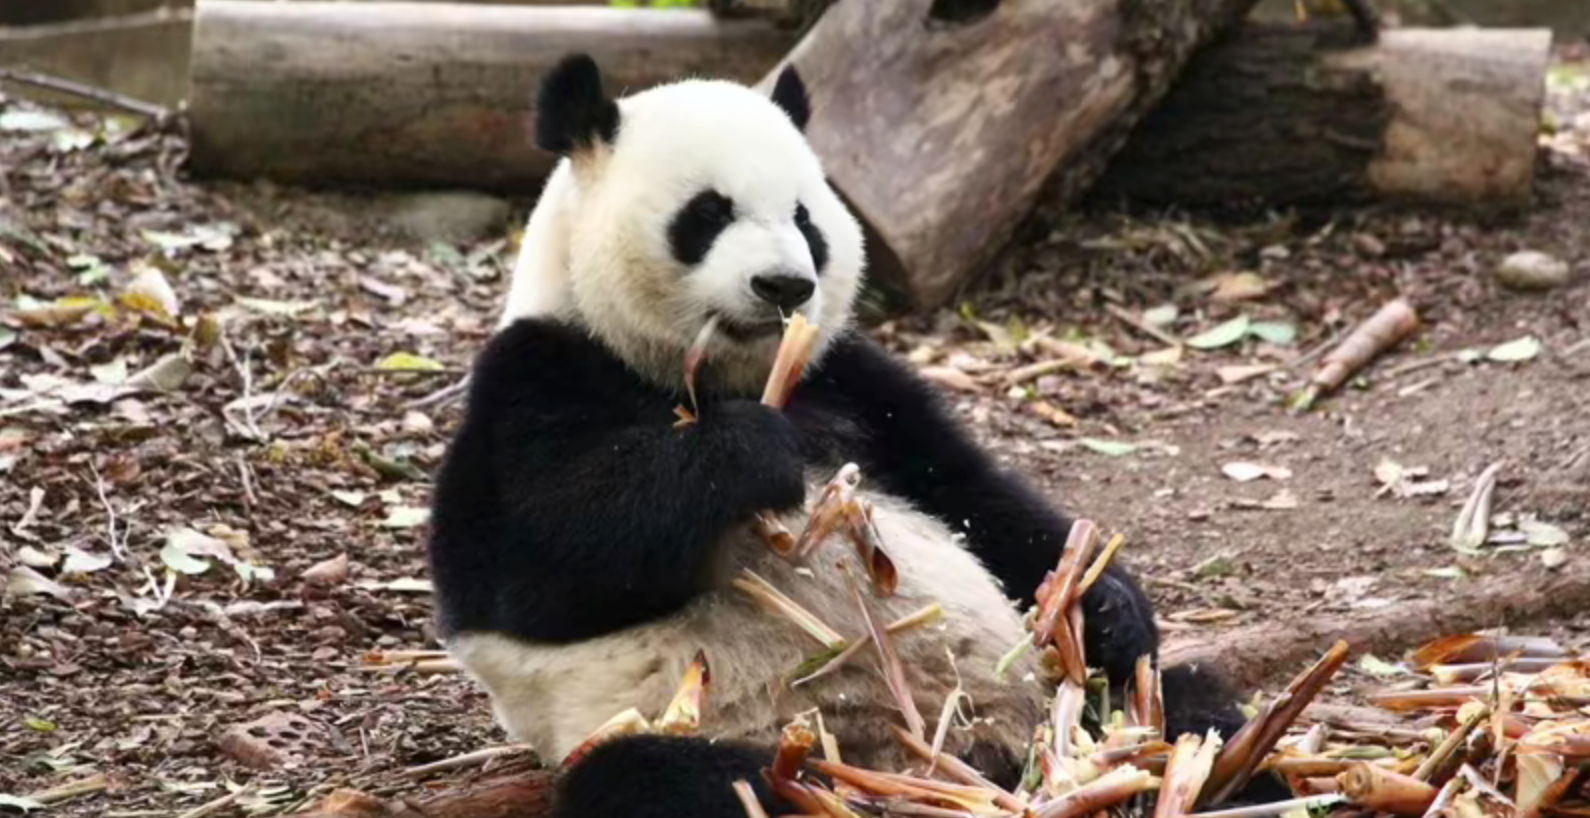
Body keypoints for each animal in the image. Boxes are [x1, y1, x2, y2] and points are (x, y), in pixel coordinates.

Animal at [428, 53, 1278, 818]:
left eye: (806, 219)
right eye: (708, 213)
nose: (784, 285)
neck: (715, 376)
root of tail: (966, 769)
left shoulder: (854, 378)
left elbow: (974, 496)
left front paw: (1101, 601)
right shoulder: (537, 375)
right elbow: (528, 565)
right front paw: (750, 453)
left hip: (1075, 714)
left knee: (1182, 710)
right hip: (732, 735)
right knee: (672, 783)